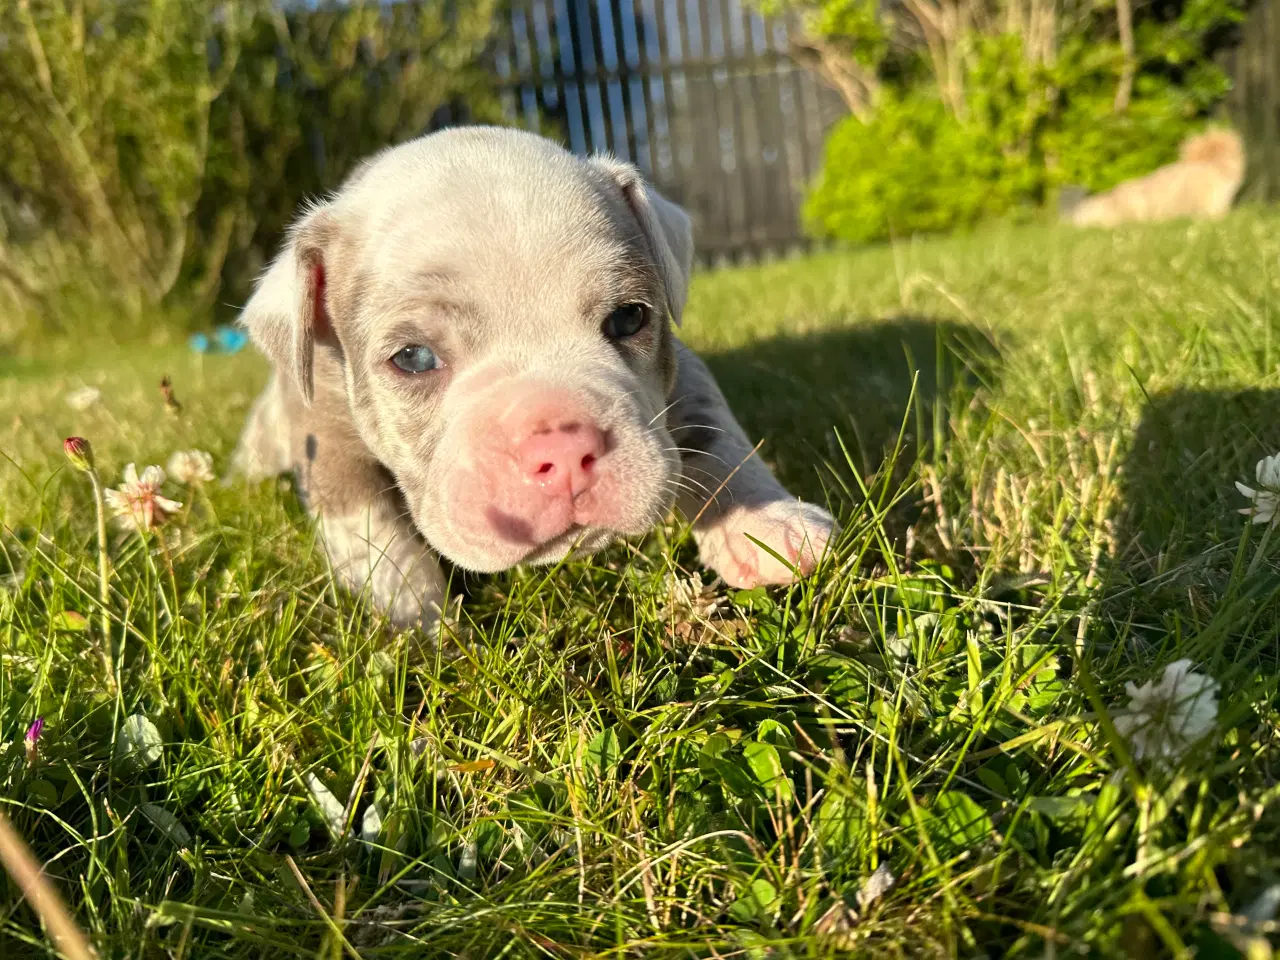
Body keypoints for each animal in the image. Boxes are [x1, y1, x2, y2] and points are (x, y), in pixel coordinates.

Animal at [232, 124, 839, 627]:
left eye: (629, 317)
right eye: (414, 358)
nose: (564, 448)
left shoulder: (683, 376)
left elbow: (717, 438)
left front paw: (766, 523)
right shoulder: (328, 438)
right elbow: (377, 542)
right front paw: (421, 634)